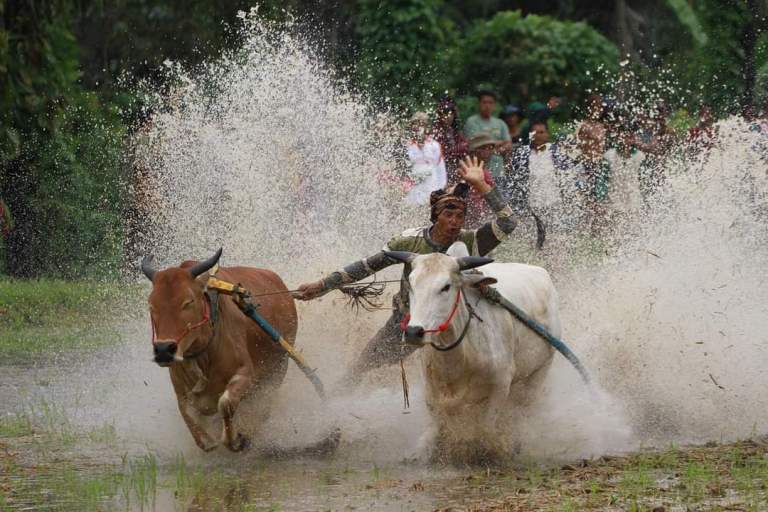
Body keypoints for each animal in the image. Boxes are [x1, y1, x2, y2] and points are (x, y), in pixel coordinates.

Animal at [141, 249, 296, 452]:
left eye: (188, 302)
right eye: (152, 305)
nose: (163, 350)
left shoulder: (246, 374)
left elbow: (225, 403)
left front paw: (235, 440)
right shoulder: (182, 393)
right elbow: (201, 437)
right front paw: (212, 439)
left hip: (278, 368)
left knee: (264, 405)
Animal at [390, 242, 560, 462]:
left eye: (446, 286)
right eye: (411, 284)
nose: (413, 332)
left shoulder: (500, 384)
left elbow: (487, 426)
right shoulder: (431, 387)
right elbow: (438, 421)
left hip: (540, 370)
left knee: (524, 408)